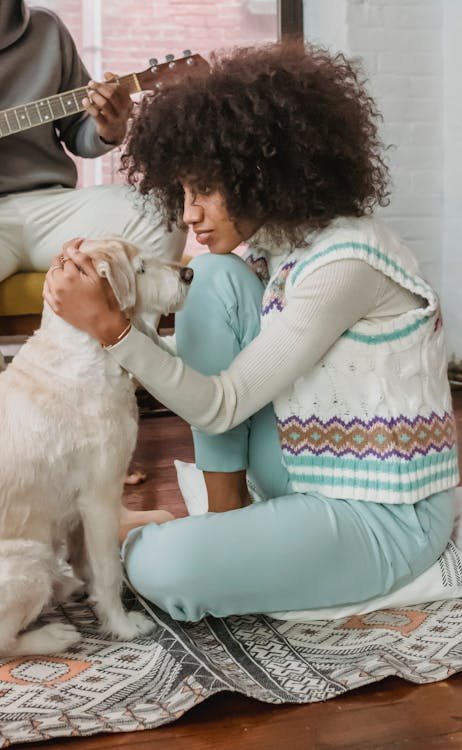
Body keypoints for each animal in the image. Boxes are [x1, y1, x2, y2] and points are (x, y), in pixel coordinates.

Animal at [0, 238, 193, 656]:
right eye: (140, 268)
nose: (189, 272)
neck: (87, 350)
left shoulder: (78, 512)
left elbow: (86, 563)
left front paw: (95, 603)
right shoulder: (100, 497)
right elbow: (108, 570)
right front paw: (122, 626)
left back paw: (63, 588)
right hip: (29, 559)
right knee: (4, 642)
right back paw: (54, 635)